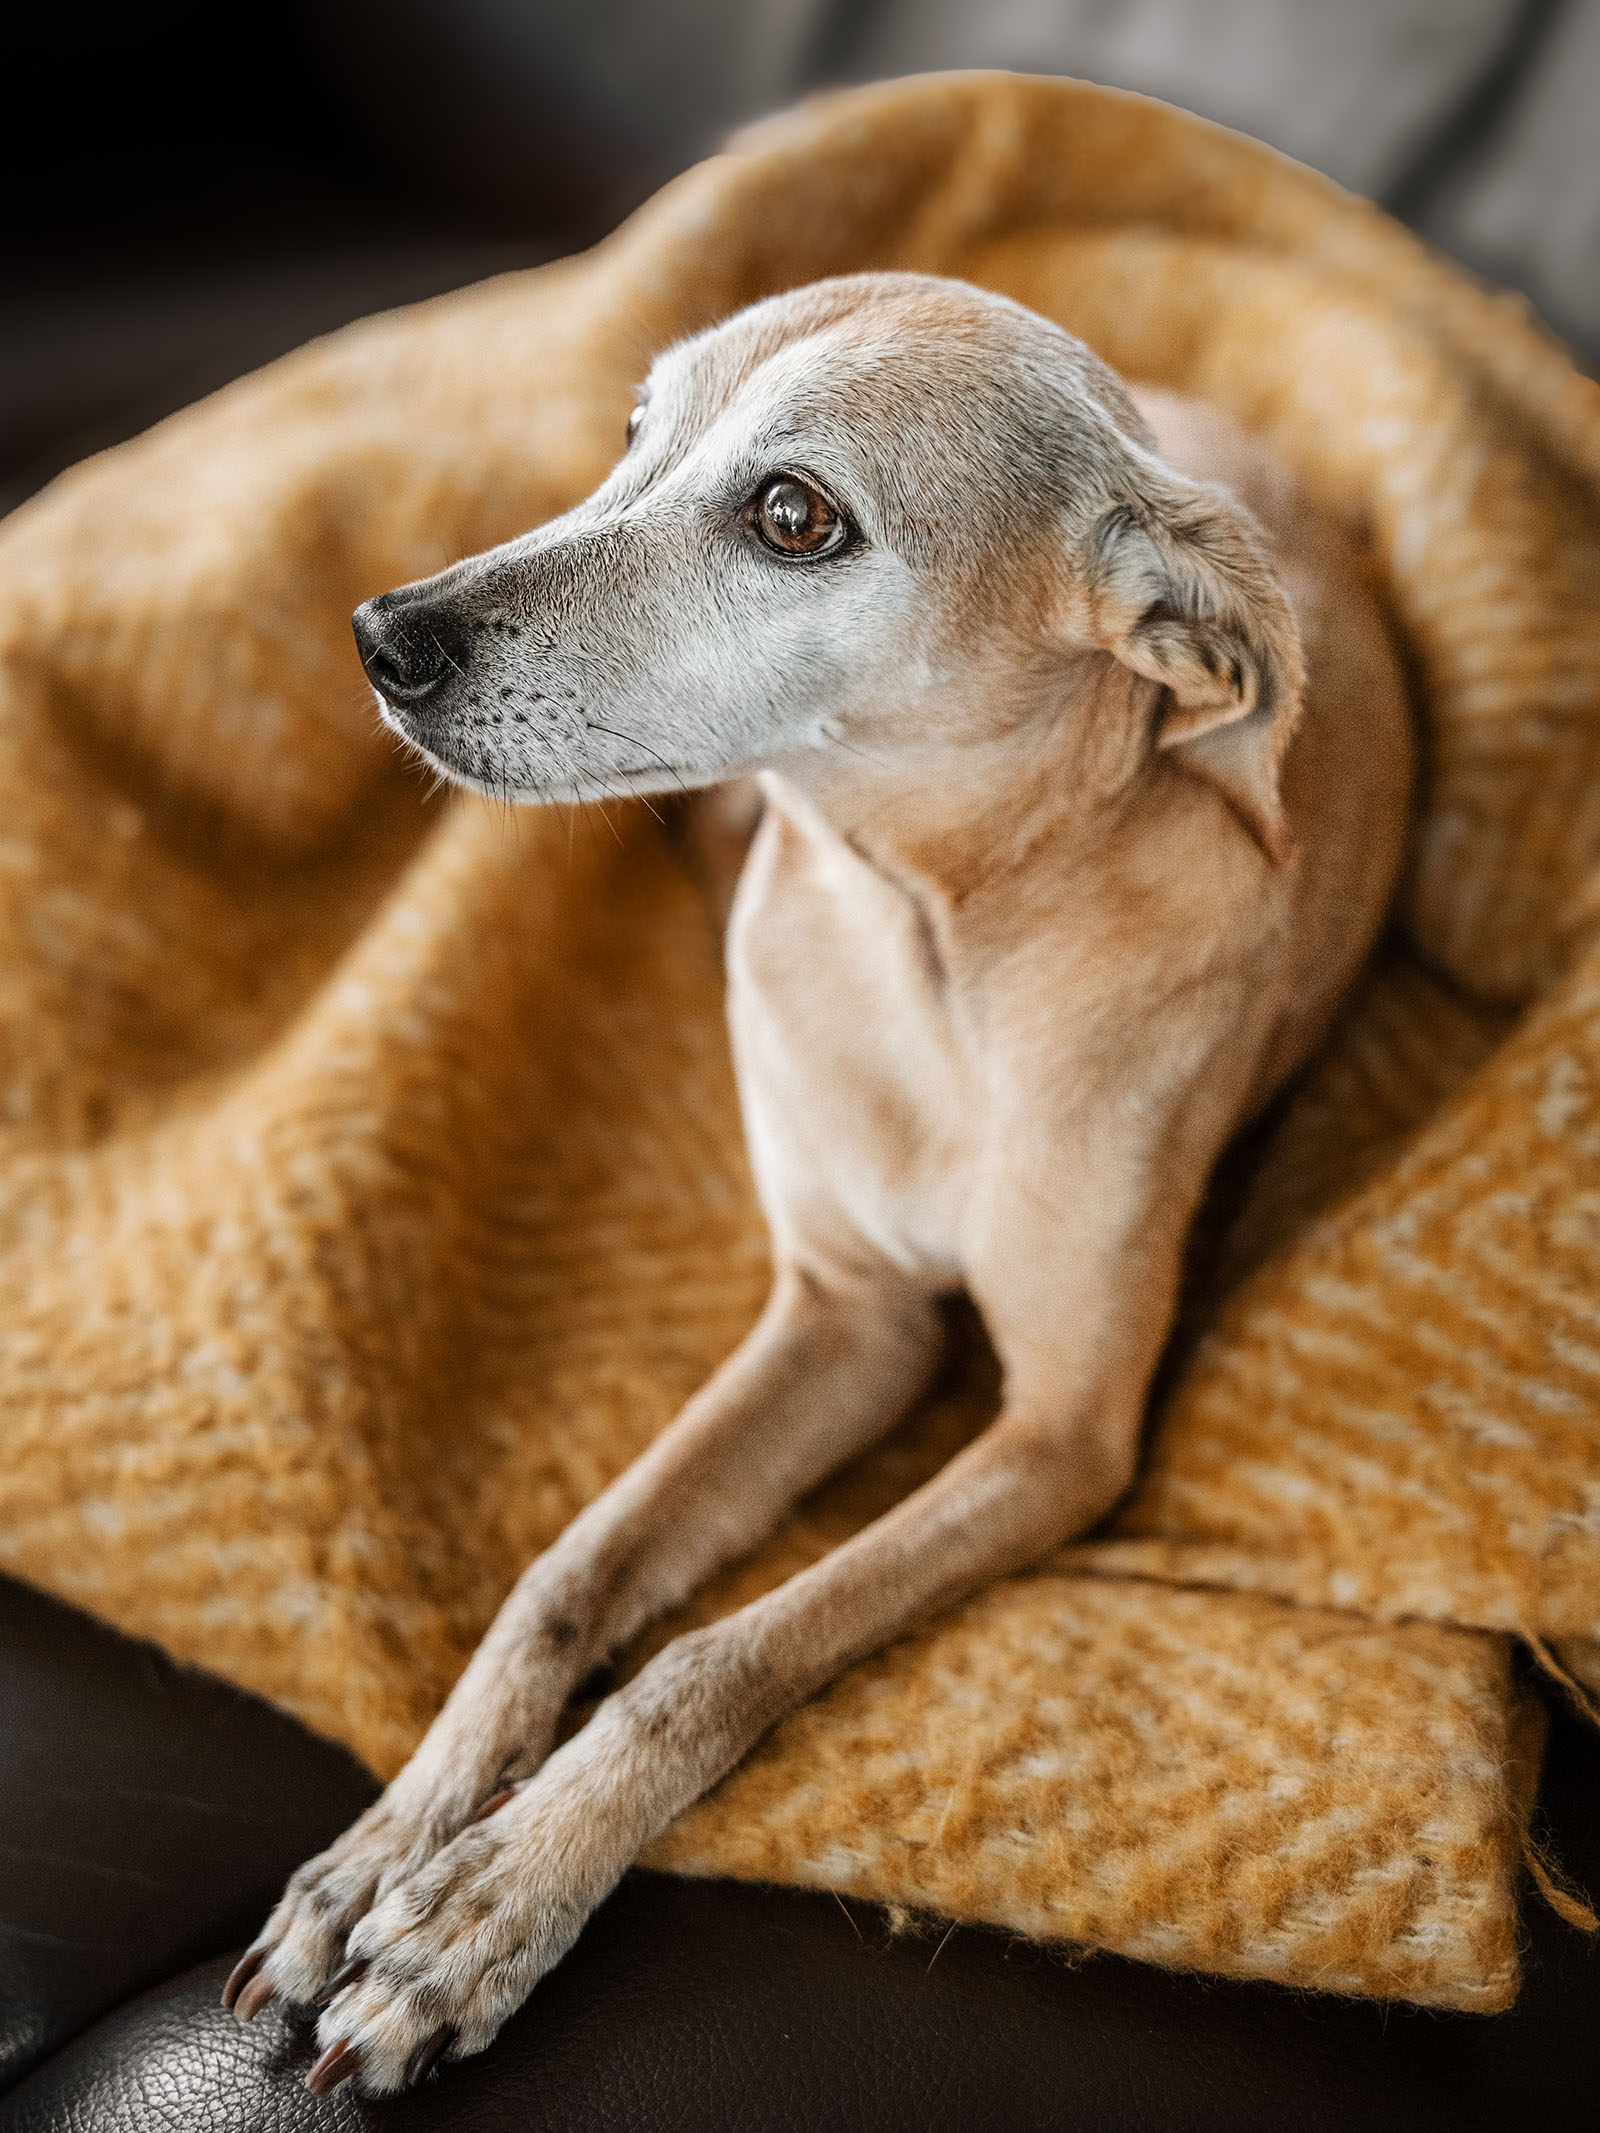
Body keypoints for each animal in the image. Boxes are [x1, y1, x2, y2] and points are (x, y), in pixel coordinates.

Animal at [222, 275, 1416, 2090]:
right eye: (635, 429)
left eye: (795, 515)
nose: (385, 636)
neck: (923, 939)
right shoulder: (844, 1317)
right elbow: (564, 1577)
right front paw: (385, 1847)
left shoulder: (1058, 1434)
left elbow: (709, 1655)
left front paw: (486, 1902)